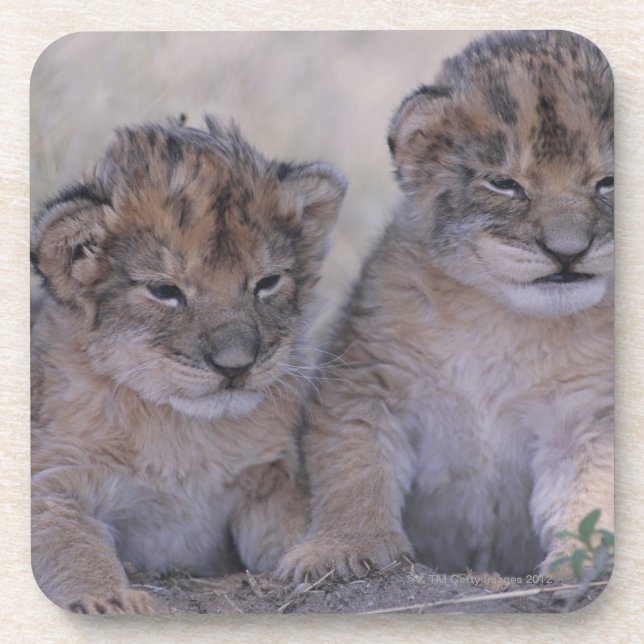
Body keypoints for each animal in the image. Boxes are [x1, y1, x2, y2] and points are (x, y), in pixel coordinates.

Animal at [30, 117, 347, 613]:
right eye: (165, 291)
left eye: (267, 283)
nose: (235, 366)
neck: (188, 432)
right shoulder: (53, 483)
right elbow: (70, 545)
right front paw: (109, 600)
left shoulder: (270, 482)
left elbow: (294, 523)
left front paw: (320, 553)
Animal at [279, 31, 614, 583]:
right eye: (504, 183)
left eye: (608, 182)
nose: (568, 252)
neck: (503, 320)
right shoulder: (367, 378)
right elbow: (353, 468)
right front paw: (342, 548)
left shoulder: (586, 416)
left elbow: (591, 494)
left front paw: (582, 564)